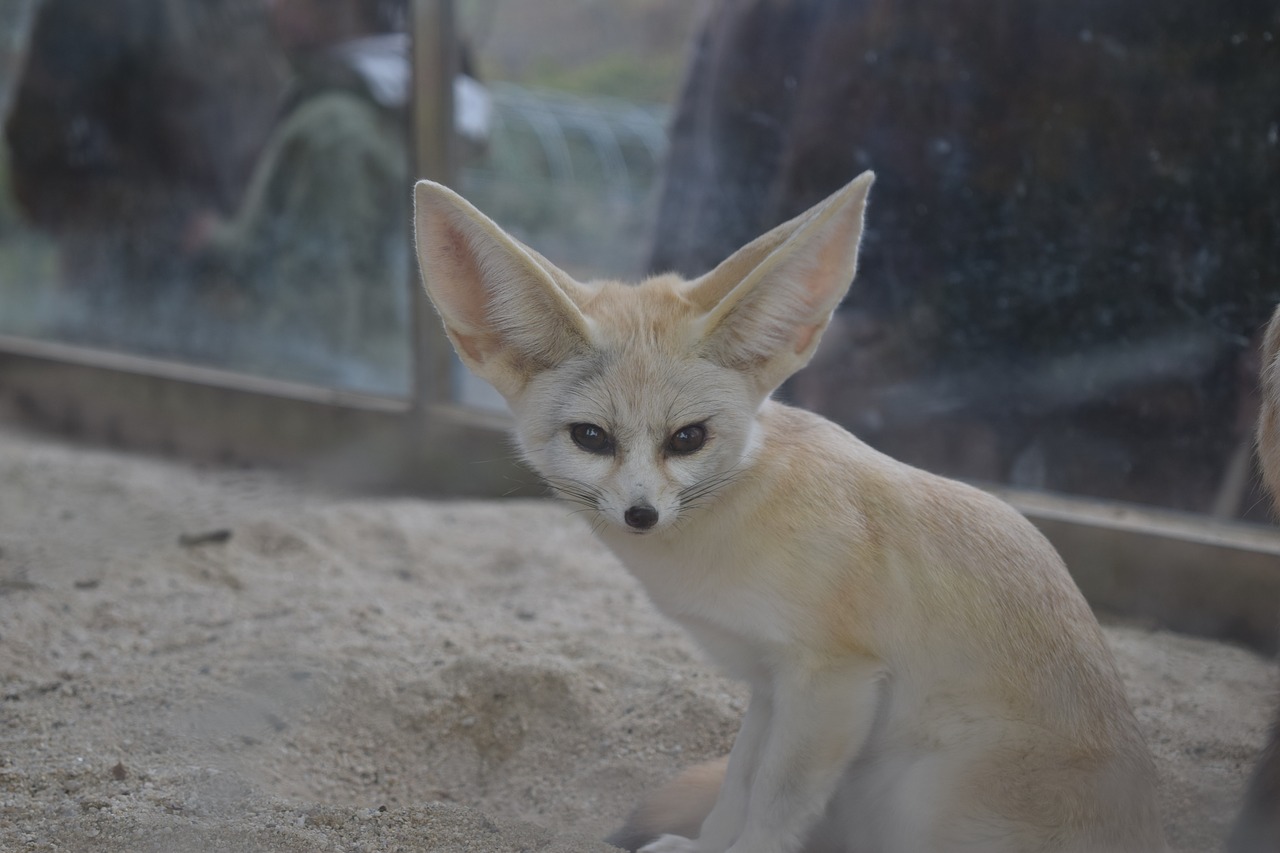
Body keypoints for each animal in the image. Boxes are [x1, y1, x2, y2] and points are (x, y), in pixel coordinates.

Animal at [414, 169, 1167, 845]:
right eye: (591, 438)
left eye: (687, 438)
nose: (641, 515)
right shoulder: (770, 683)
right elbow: (737, 788)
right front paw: (703, 847)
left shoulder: (832, 681)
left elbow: (776, 805)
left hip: (922, 794)